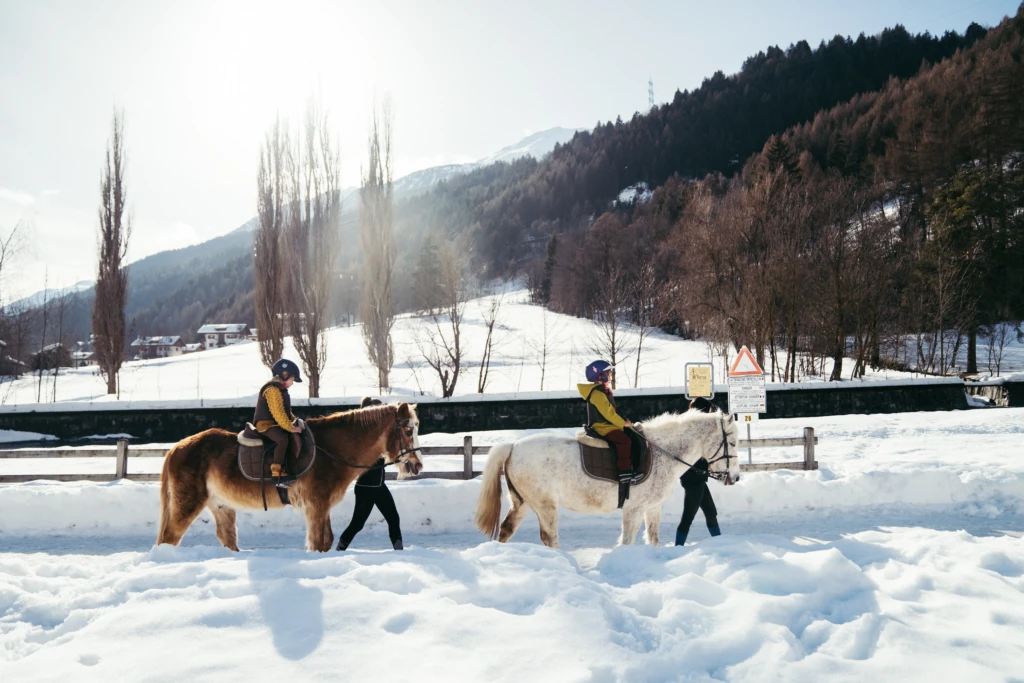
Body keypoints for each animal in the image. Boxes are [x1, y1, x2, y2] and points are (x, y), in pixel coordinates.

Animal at [157, 402, 423, 552]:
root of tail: (176, 448)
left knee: (226, 538)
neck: (329, 449)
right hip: (187, 503)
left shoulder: (321, 507)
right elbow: (317, 544)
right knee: (169, 537)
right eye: (409, 430)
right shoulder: (316, 507)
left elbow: (327, 541)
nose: (418, 465)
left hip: (221, 506)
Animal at [475, 410, 740, 548]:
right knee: (549, 537)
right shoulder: (634, 509)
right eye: (734, 442)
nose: (735, 477)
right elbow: (627, 541)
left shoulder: (652, 508)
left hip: (523, 502)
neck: (662, 452)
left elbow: (653, 538)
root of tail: (513, 446)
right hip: (545, 505)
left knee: (507, 529)